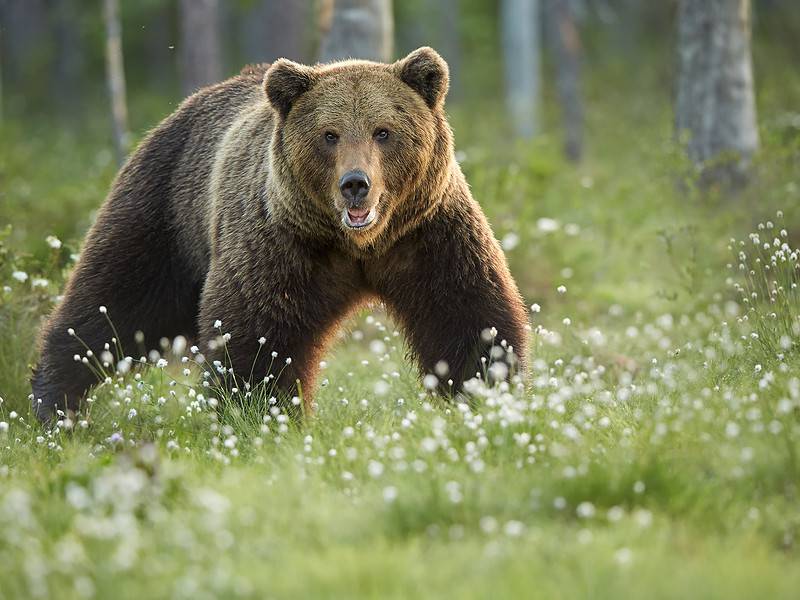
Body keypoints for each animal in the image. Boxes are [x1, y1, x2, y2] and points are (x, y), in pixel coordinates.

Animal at [32, 47, 532, 422]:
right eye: (330, 134)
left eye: (383, 131)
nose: (355, 183)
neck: (358, 245)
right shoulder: (281, 242)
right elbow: (258, 334)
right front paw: (258, 415)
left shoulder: (427, 232)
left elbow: (467, 314)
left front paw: (484, 393)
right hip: (166, 212)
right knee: (113, 303)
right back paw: (54, 403)